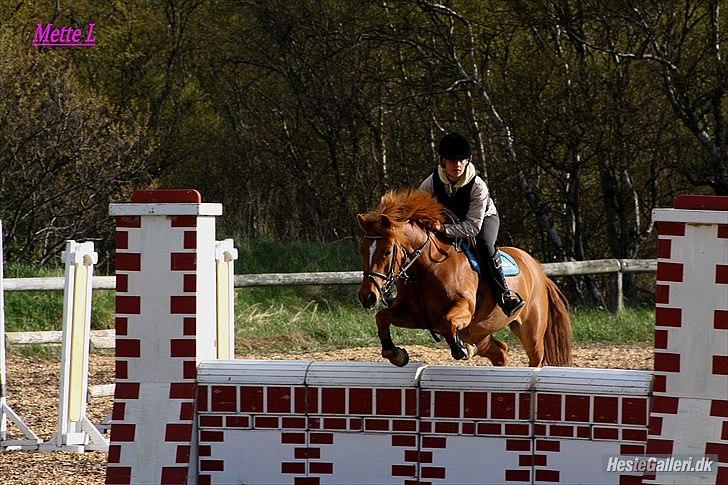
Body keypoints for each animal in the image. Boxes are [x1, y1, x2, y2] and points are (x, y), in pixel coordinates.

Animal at [358, 189, 576, 366]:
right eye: (363, 250)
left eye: (387, 251)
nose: (367, 296)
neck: (425, 269)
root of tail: (537, 268)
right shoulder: (416, 315)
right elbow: (382, 317)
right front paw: (395, 354)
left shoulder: (464, 308)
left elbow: (447, 322)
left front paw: (461, 349)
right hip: (481, 331)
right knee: (500, 352)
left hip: (531, 330)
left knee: (535, 358)